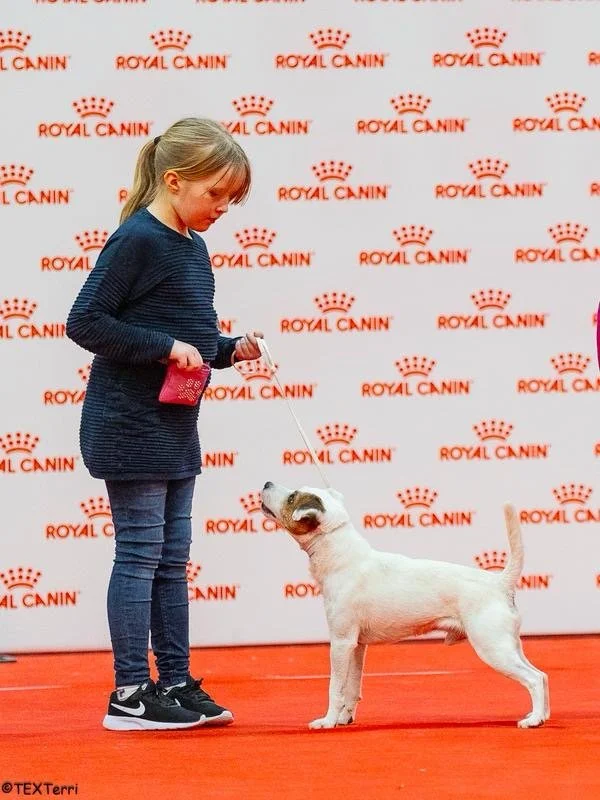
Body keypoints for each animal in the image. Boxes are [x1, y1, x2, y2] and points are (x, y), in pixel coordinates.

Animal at [261, 482, 550, 730]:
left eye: (291, 497)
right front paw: (345, 719)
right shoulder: (356, 646)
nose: (266, 483)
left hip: (493, 647)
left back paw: (533, 720)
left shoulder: (341, 643)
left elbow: (335, 687)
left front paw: (328, 721)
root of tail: (499, 582)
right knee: (542, 675)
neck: (340, 554)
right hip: (508, 644)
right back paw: (541, 715)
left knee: (533, 679)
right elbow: (352, 687)